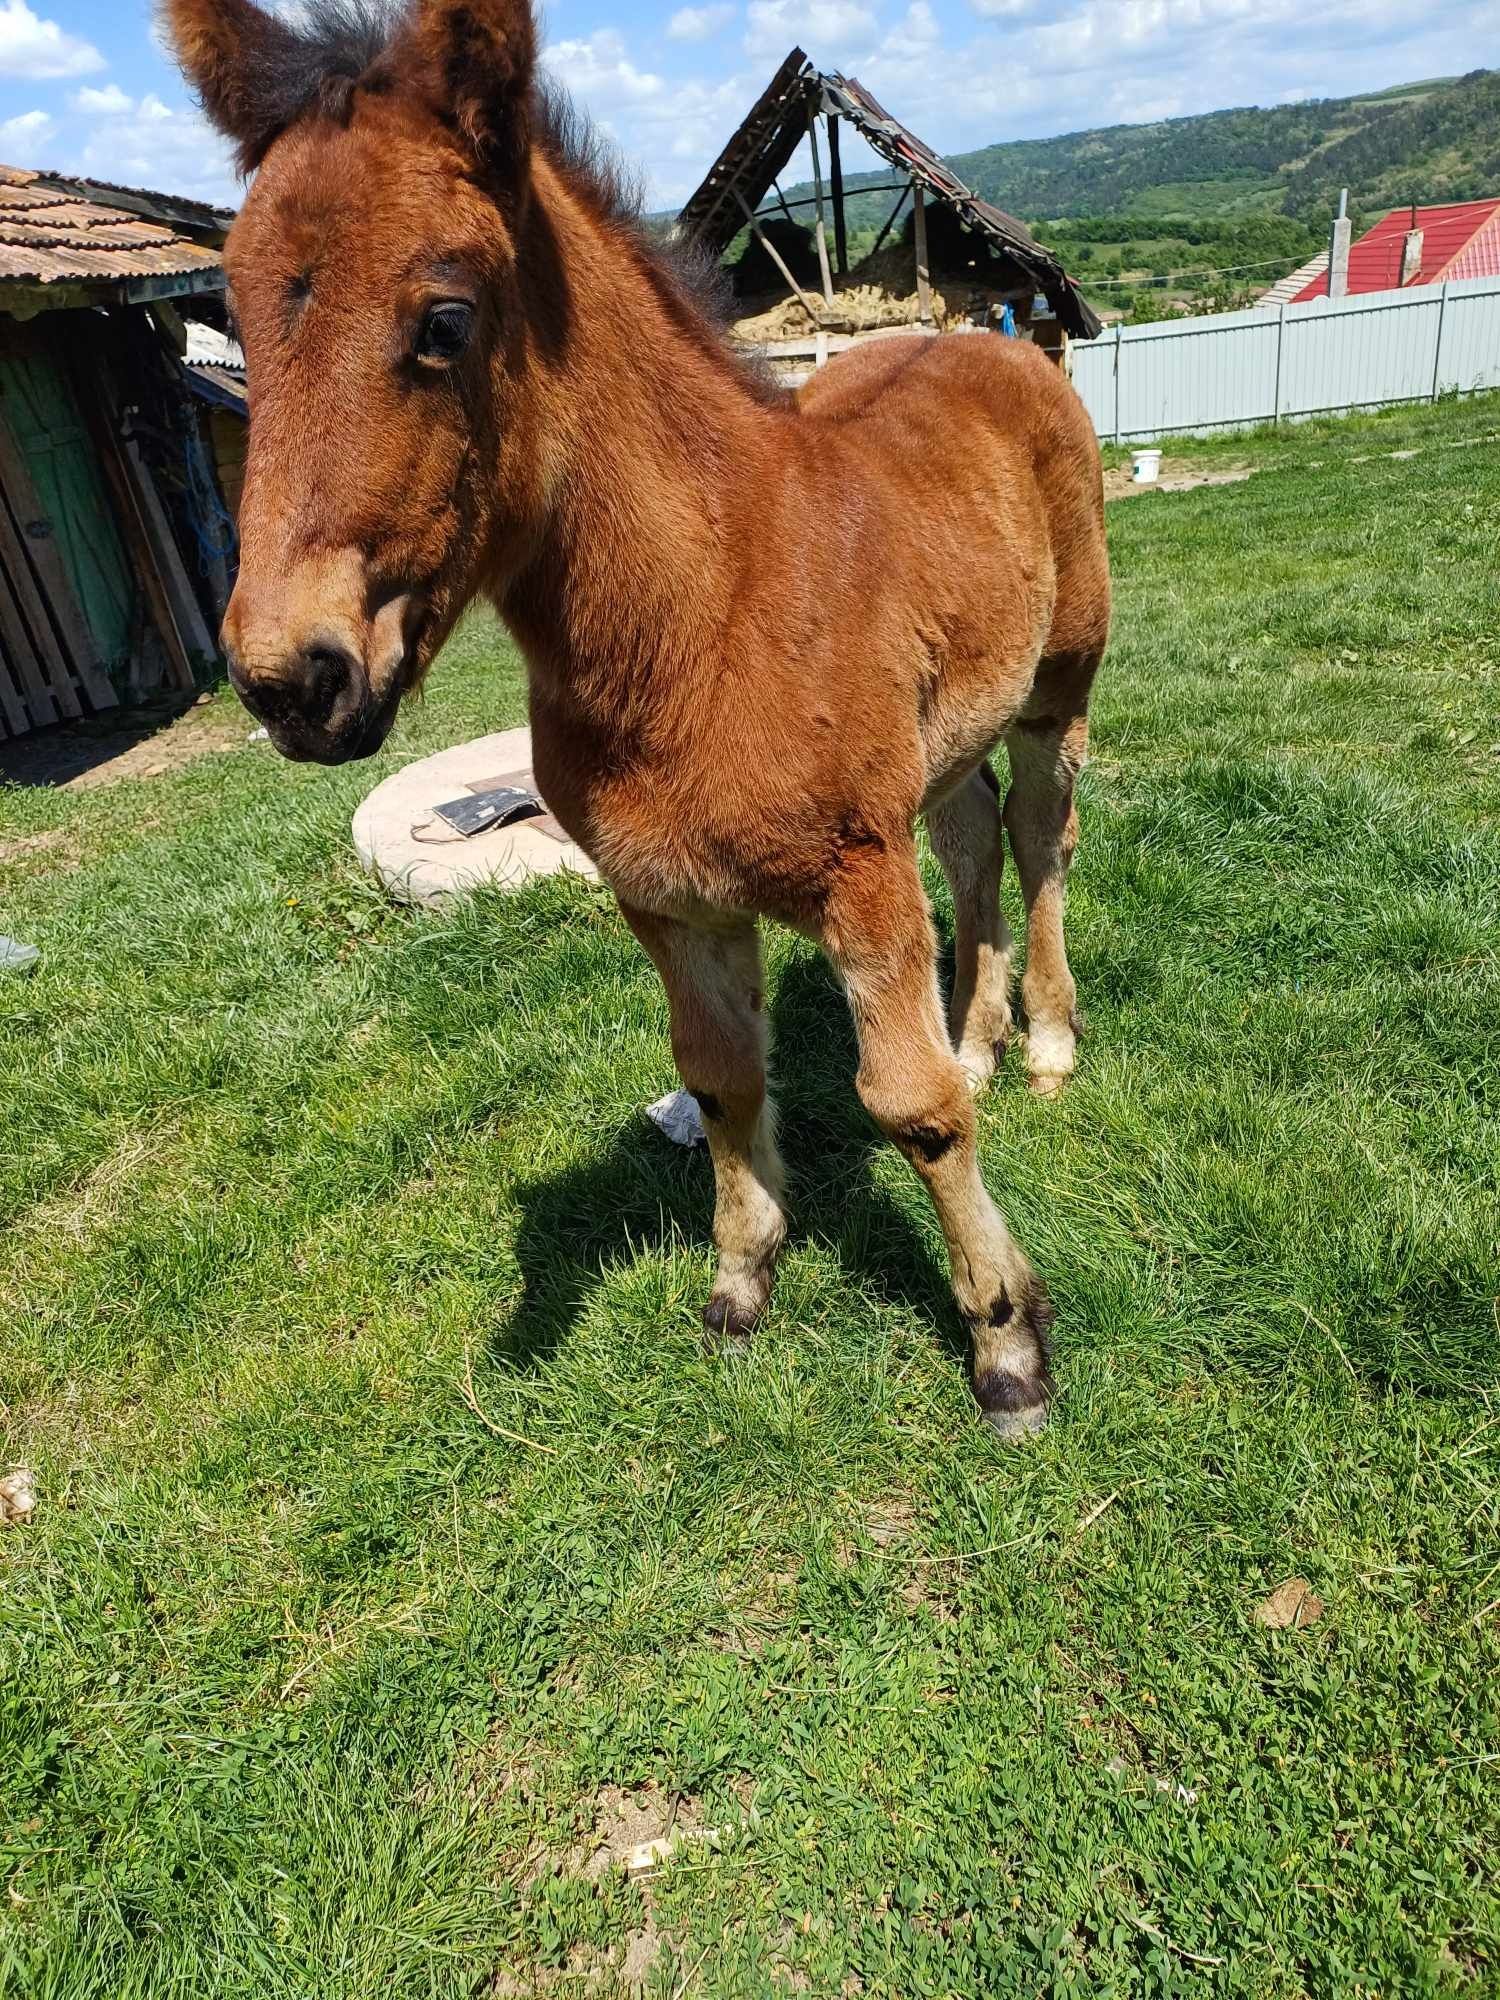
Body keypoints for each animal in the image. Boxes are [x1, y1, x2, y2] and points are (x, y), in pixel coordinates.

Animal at [164, 0, 1112, 1440]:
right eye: (238, 324)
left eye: (444, 320)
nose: (290, 681)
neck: (705, 610)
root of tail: (999, 340)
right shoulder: (670, 900)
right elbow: (721, 1077)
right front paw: (740, 1283)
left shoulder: (858, 879)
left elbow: (911, 1108)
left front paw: (1006, 1342)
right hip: (949, 727)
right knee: (972, 838)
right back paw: (984, 1033)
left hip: (1060, 682)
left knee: (1044, 830)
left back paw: (1047, 1040)